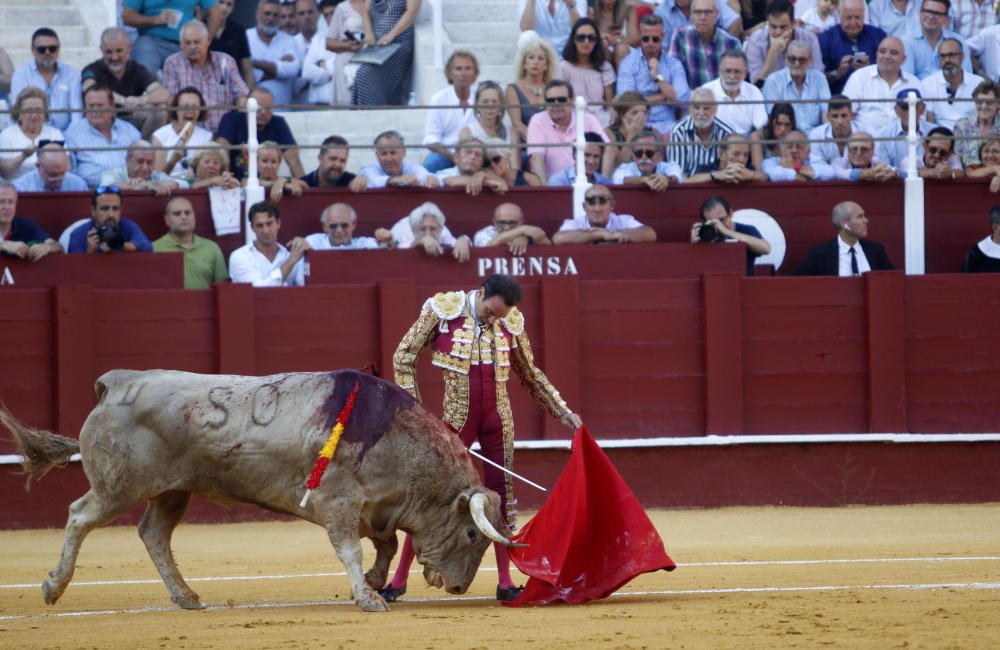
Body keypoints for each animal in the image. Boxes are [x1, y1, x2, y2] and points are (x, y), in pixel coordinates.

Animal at [1, 368, 516, 612]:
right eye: (473, 535)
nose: (458, 587)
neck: (395, 438)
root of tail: (117, 382)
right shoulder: (338, 503)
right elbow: (351, 549)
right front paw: (369, 597)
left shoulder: (374, 508)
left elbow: (386, 546)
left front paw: (372, 583)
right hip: (118, 487)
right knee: (79, 515)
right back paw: (52, 587)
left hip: (173, 491)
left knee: (154, 534)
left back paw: (186, 596)